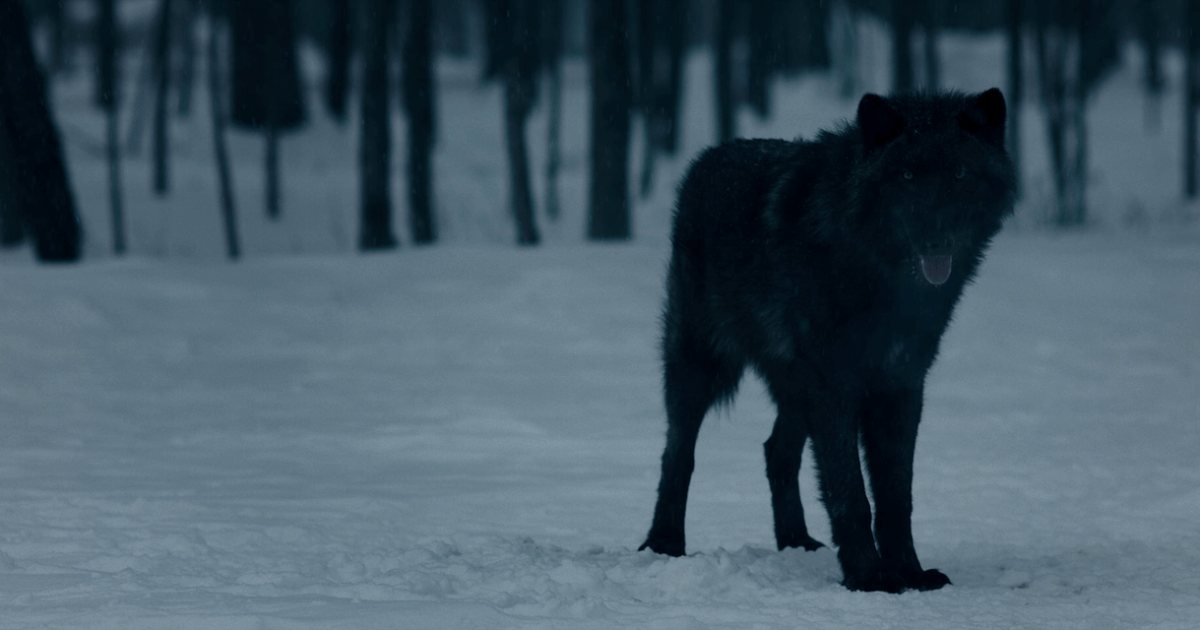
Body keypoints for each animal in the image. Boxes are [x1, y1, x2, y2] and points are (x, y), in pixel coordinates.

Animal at [639, 89, 1015, 593]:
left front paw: (910, 572)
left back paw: (795, 541)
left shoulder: (901, 384)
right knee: (677, 452)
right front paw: (869, 576)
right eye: (907, 176)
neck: (877, 273)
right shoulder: (835, 384)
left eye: (958, 173)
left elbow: (896, 496)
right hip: (703, 366)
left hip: (796, 391)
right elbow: (848, 491)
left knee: (776, 451)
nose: (936, 240)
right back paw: (664, 542)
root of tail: (709, 156)